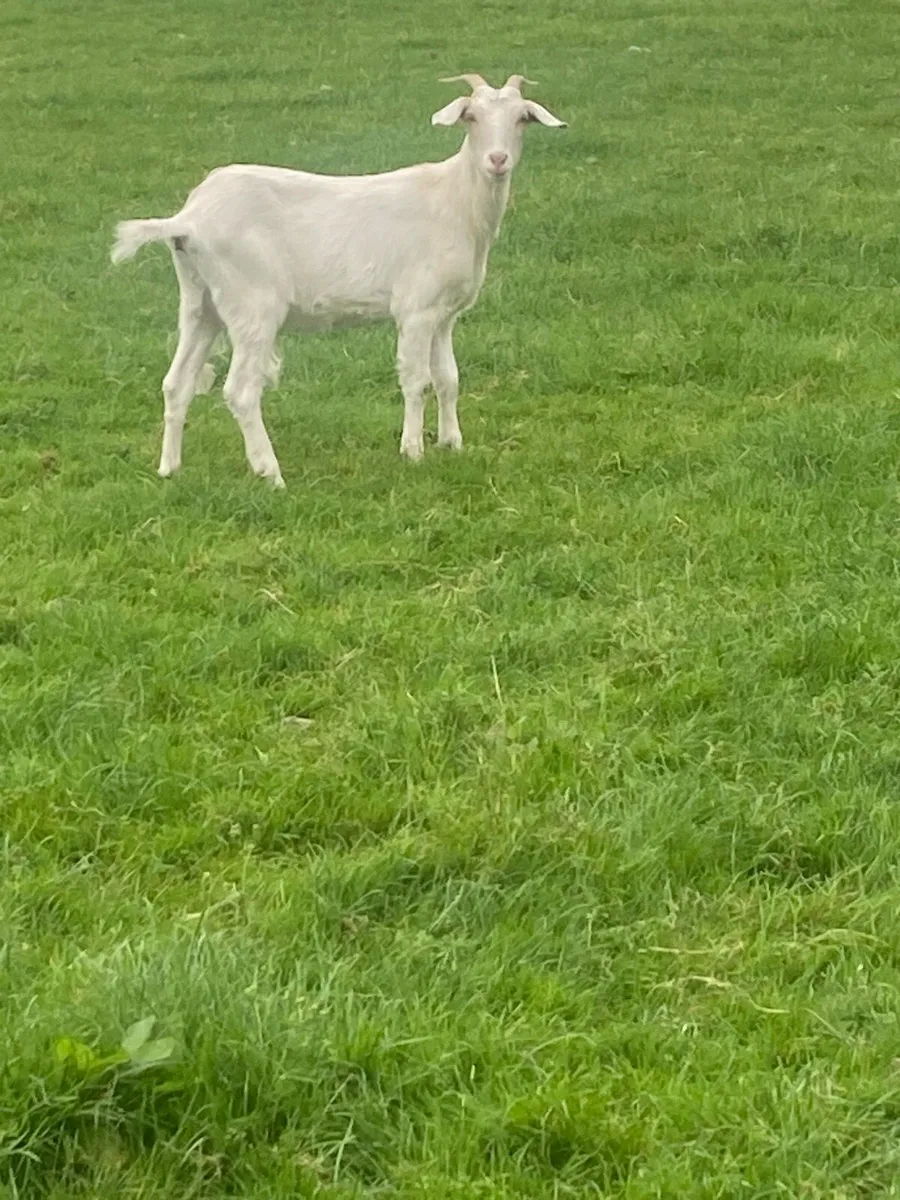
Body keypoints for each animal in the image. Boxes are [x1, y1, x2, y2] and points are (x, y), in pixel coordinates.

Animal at [111, 73, 566, 486]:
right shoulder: (416, 309)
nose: (497, 160)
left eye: (522, 118)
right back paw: (270, 473)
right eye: (470, 116)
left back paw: (170, 469)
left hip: (200, 302)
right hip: (252, 303)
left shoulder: (445, 313)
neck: (455, 199)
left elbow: (448, 378)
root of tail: (187, 219)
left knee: (176, 383)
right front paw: (413, 451)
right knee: (240, 391)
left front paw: (452, 444)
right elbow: (416, 380)